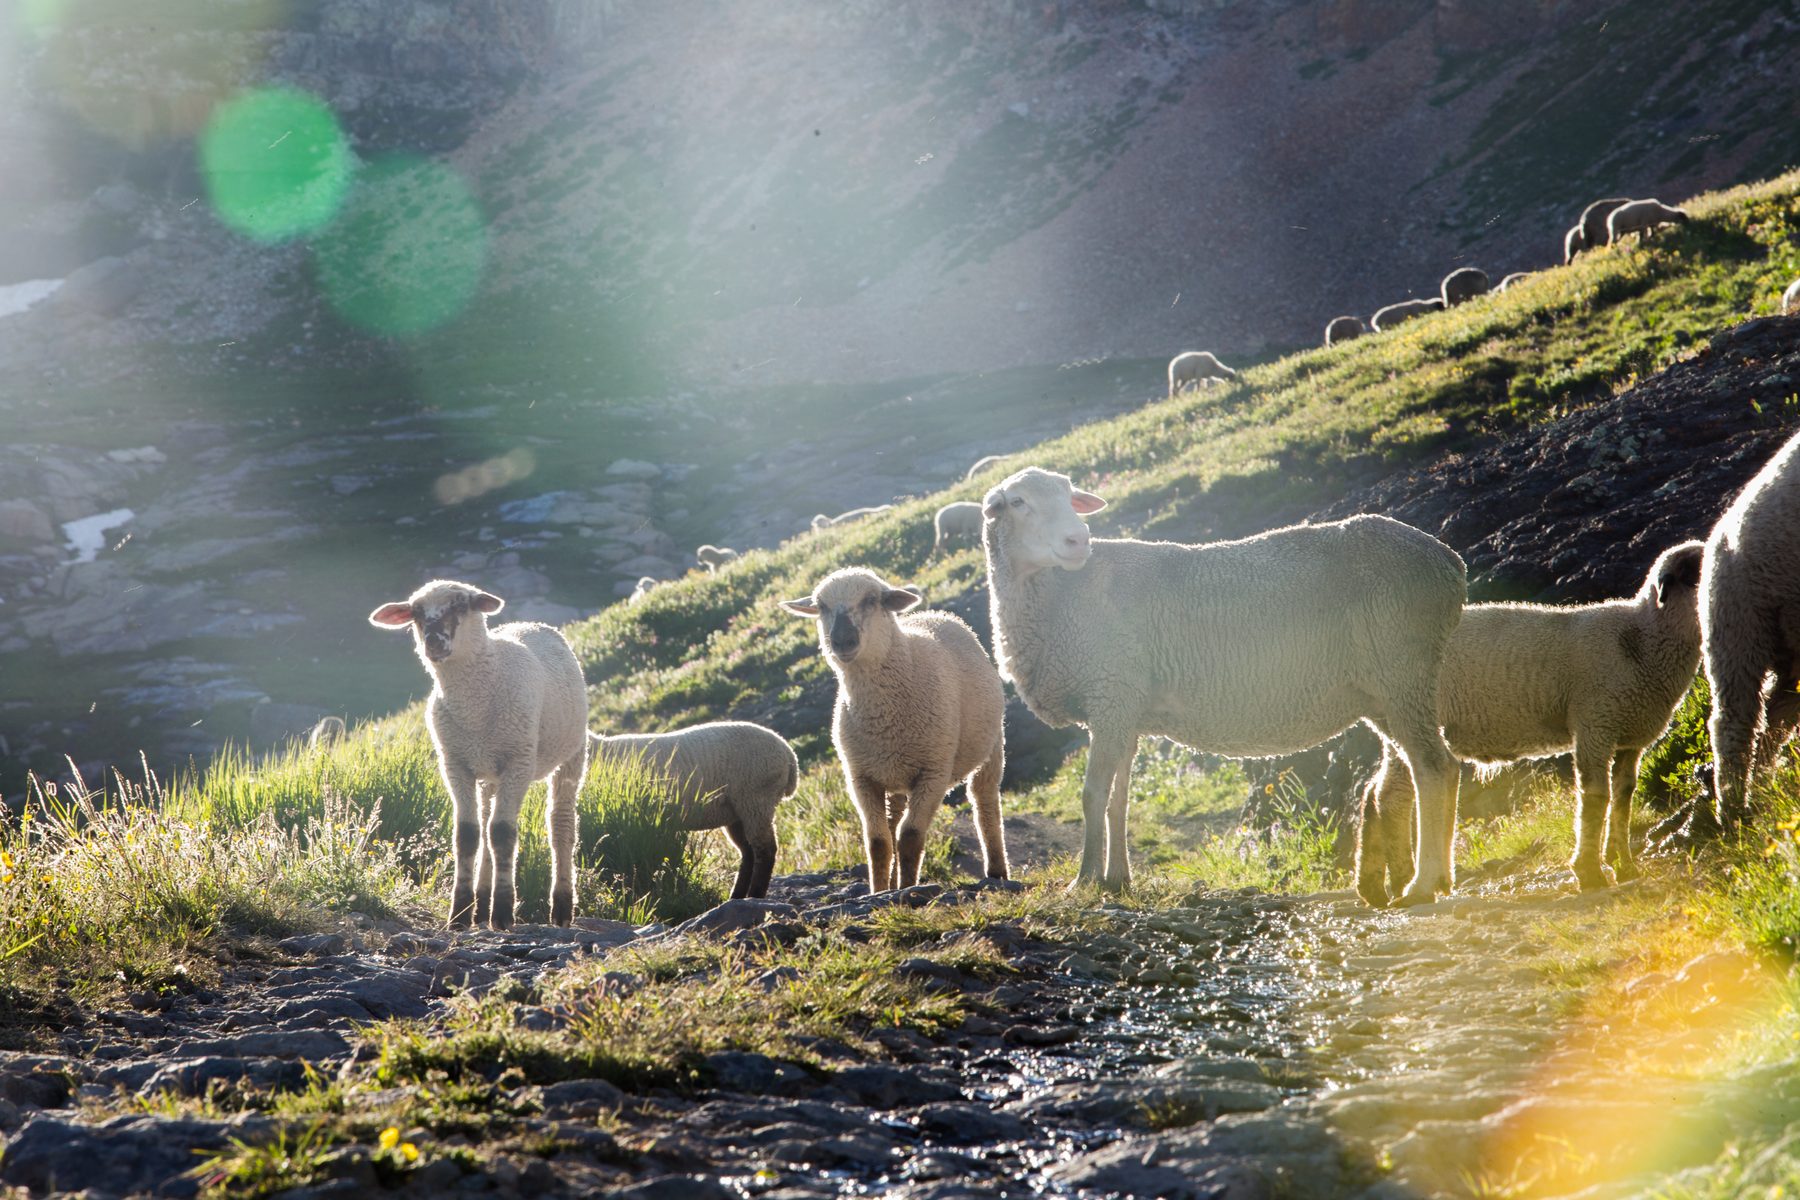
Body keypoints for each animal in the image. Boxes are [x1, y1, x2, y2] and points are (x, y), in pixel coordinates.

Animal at [369, 580, 586, 930]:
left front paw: (504, 913)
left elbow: (503, 834)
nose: (433, 642)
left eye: (461, 605)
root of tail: (533, 623)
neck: (475, 703)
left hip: (572, 752)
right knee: (484, 823)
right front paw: (459, 914)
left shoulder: (519, 761)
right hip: (487, 770)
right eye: (416, 613)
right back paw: (481, 906)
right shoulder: (454, 763)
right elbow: (468, 834)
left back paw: (561, 908)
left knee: (560, 825)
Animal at [587, 722, 797, 900]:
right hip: (737, 812)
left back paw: (754, 895)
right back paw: (736, 896)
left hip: (757, 799)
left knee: (765, 849)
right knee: (748, 852)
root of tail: (788, 753)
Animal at [780, 567, 1008, 892]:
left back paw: (997, 871)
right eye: (821, 606)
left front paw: (908, 887)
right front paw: (880, 890)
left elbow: (910, 837)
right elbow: (878, 841)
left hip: (991, 745)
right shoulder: (861, 777)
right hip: (893, 771)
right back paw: (893, 879)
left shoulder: (933, 772)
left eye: (872, 600)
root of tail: (936, 614)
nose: (842, 641)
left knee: (984, 802)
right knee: (893, 820)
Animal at [981, 466, 1465, 901]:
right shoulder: (1123, 709)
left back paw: (1424, 883)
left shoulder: (1110, 694)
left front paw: (1083, 881)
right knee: (1429, 767)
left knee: (1433, 766)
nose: (1077, 540)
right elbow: (1119, 800)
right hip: (1388, 692)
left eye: (1068, 496)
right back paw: (1437, 878)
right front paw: (1117, 879)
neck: (1062, 596)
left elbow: (1092, 795)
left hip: (1403, 670)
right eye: (1018, 501)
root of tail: (1449, 560)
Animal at [1356, 540, 1705, 901]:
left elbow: (1624, 797)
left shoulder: (1630, 737)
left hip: (1399, 725)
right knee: (1394, 798)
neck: (1641, 639)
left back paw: (1375, 883)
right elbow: (1596, 796)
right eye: (1696, 572)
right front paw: (1590, 872)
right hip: (1412, 714)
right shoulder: (1595, 724)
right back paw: (1403, 880)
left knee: (1380, 792)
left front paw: (1624, 866)